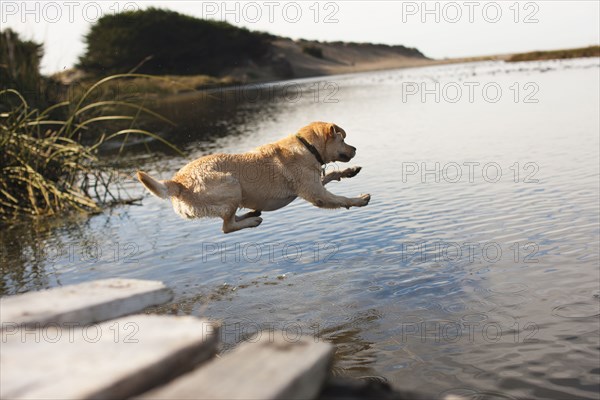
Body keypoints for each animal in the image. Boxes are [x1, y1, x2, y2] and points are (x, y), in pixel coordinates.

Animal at [137, 122, 370, 234]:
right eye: (343, 139)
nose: (355, 149)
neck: (308, 147)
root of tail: (178, 182)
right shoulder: (316, 194)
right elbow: (341, 199)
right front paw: (358, 200)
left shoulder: (313, 183)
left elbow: (330, 174)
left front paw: (349, 171)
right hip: (231, 185)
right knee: (226, 227)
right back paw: (252, 220)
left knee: (229, 219)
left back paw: (251, 214)